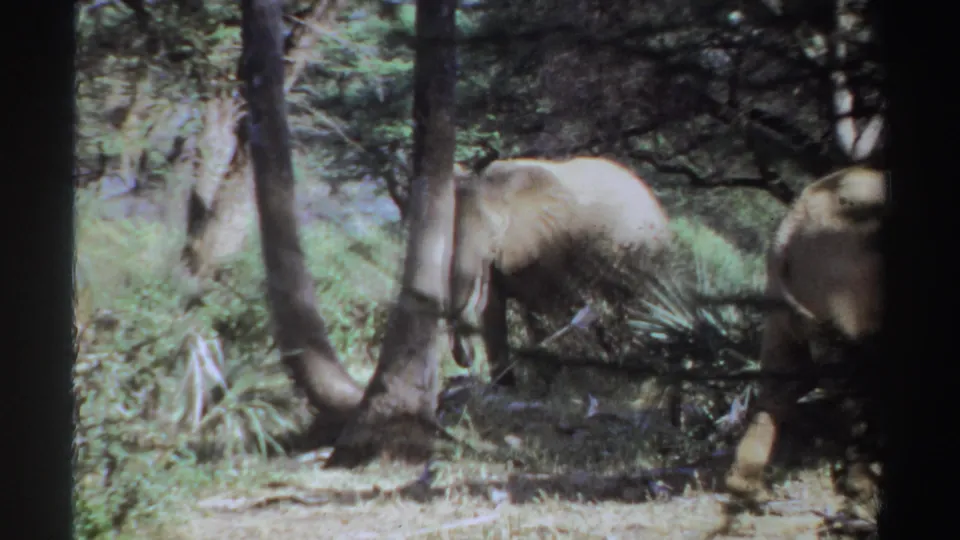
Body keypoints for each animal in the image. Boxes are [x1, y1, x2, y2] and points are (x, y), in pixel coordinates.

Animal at [446, 156, 673, 386]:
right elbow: (492, 310)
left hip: (641, 254)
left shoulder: (546, 247)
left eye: (490, 235)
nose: (467, 361)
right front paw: (504, 386)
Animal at [725, 166, 888, 511]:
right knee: (847, 377)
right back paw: (863, 489)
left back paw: (748, 491)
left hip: (783, 295)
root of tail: (792, 223)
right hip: (843, 274)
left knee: (778, 376)